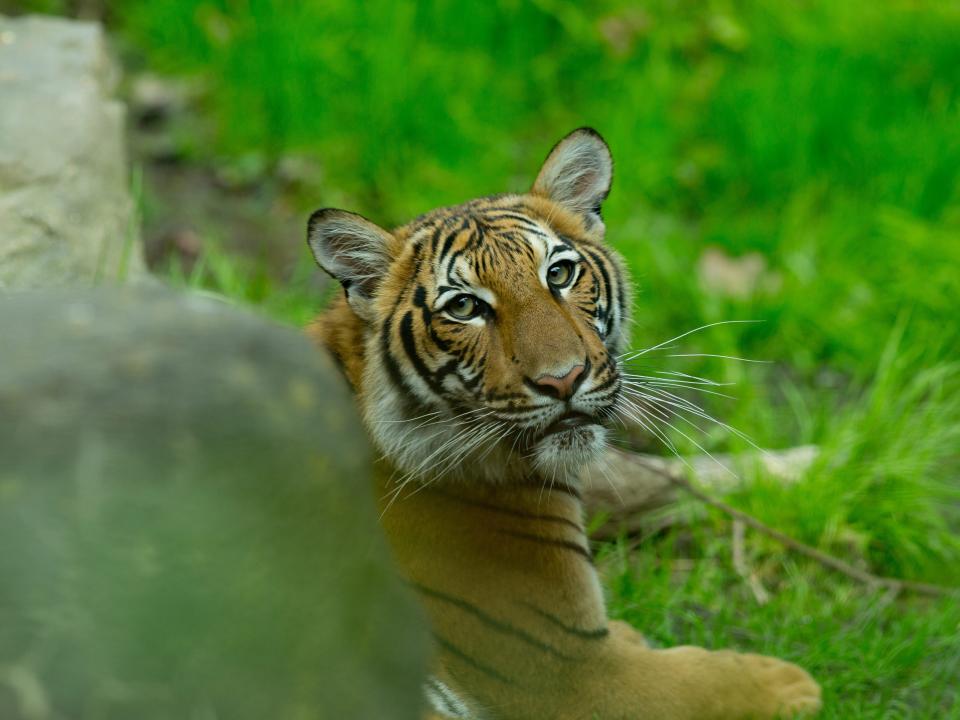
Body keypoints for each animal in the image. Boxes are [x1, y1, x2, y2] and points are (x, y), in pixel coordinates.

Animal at [304, 126, 820, 716]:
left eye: (559, 273)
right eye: (464, 307)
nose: (563, 380)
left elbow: (668, 477)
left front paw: (813, 469)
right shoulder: (571, 670)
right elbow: (702, 679)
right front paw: (789, 683)